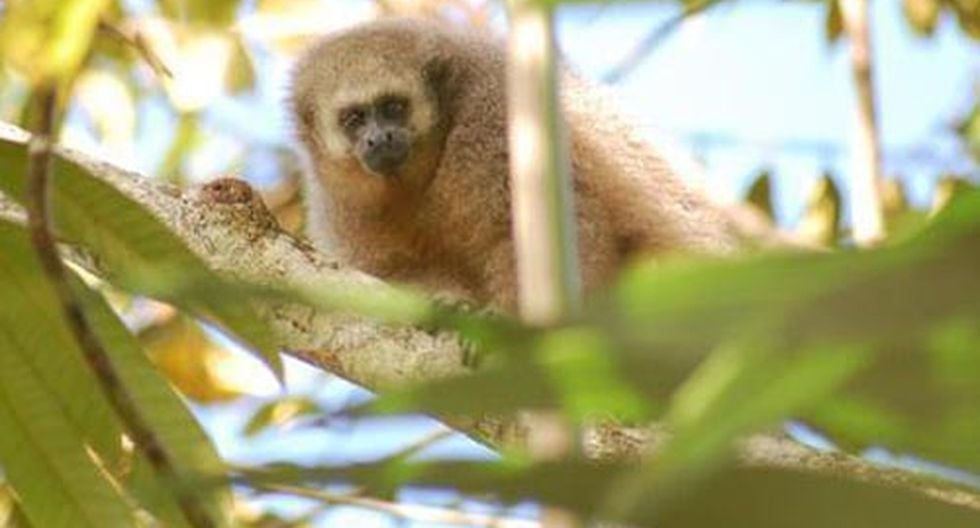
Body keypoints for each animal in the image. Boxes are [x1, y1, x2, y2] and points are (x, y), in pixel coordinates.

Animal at [290, 18, 780, 312]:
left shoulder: (494, 124)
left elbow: (562, 231)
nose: (379, 138)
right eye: (354, 119)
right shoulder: (339, 205)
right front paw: (450, 300)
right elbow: (391, 275)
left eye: (393, 107)